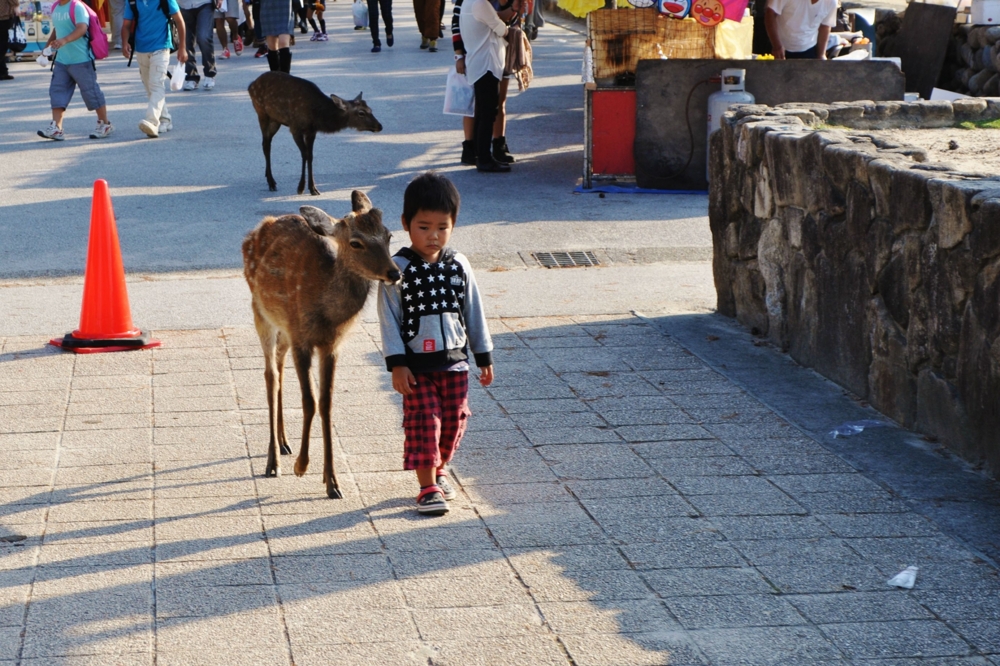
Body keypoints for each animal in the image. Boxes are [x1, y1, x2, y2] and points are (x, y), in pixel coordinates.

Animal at [240, 189, 400, 496]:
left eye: (388, 235)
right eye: (355, 242)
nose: (395, 273)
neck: (327, 312)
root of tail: (256, 231)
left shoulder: (331, 346)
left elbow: (326, 403)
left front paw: (332, 482)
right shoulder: (302, 338)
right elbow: (309, 401)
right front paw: (302, 467)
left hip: (284, 329)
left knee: (279, 365)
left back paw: (283, 442)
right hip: (260, 311)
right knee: (270, 375)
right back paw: (273, 461)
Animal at [246, 74, 382, 197]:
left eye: (370, 109)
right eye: (361, 113)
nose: (379, 126)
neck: (316, 114)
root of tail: (251, 85)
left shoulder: (311, 131)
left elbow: (310, 156)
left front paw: (313, 189)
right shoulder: (295, 128)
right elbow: (304, 155)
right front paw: (301, 187)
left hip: (276, 120)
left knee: (267, 142)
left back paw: (269, 178)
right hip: (262, 113)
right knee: (266, 144)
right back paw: (271, 183)